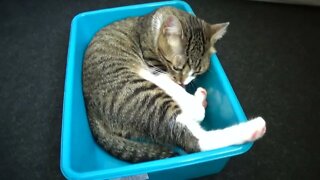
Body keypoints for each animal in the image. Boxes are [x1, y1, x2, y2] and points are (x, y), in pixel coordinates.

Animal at [82, 7, 264, 162]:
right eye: (178, 67)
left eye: (197, 72)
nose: (183, 81)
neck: (153, 24)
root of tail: (91, 111)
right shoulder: (155, 70)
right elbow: (174, 87)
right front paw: (193, 103)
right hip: (141, 96)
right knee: (193, 140)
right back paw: (252, 127)